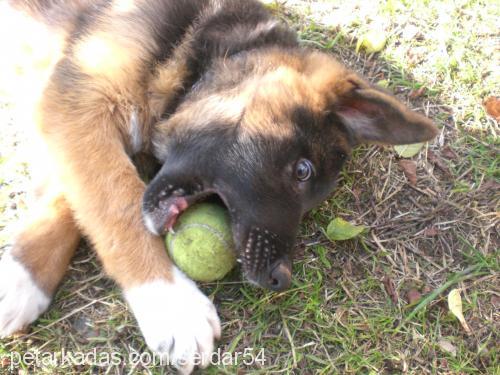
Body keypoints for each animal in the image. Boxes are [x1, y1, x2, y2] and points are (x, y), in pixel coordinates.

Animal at [0, 0, 438, 374]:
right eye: (302, 171)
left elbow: (77, 195)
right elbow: (115, 200)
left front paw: (22, 274)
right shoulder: (77, 101)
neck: (196, 40)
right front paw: (170, 302)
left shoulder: (66, 109)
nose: (281, 279)